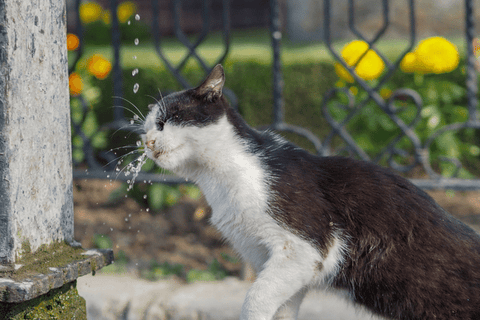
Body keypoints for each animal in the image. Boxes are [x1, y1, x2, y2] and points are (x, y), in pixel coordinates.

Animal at [142, 65, 480, 320]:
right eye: (145, 128)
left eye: (166, 121)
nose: (147, 142)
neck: (219, 177)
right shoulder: (279, 263)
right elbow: (281, 306)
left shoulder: (304, 248)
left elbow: (255, 298)